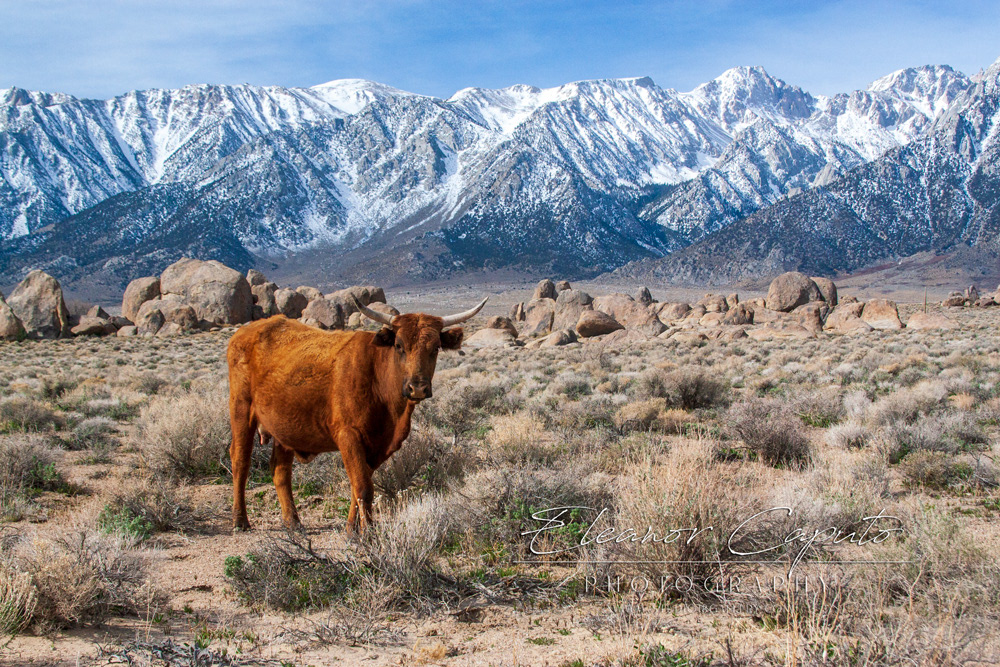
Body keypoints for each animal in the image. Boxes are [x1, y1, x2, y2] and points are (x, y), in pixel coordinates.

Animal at [226, 296, 487, 533]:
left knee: (280, 471)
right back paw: (240, 520)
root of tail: (247, 331)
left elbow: (359, 484)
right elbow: (362, 486)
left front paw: (352, 528)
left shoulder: (378, 445)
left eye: (436, 348)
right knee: (240, 460)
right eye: (399, 345)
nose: (418, 387)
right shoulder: (348, 436)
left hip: (284, 428)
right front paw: (367, 532)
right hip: (241, 410)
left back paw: (293, 522)